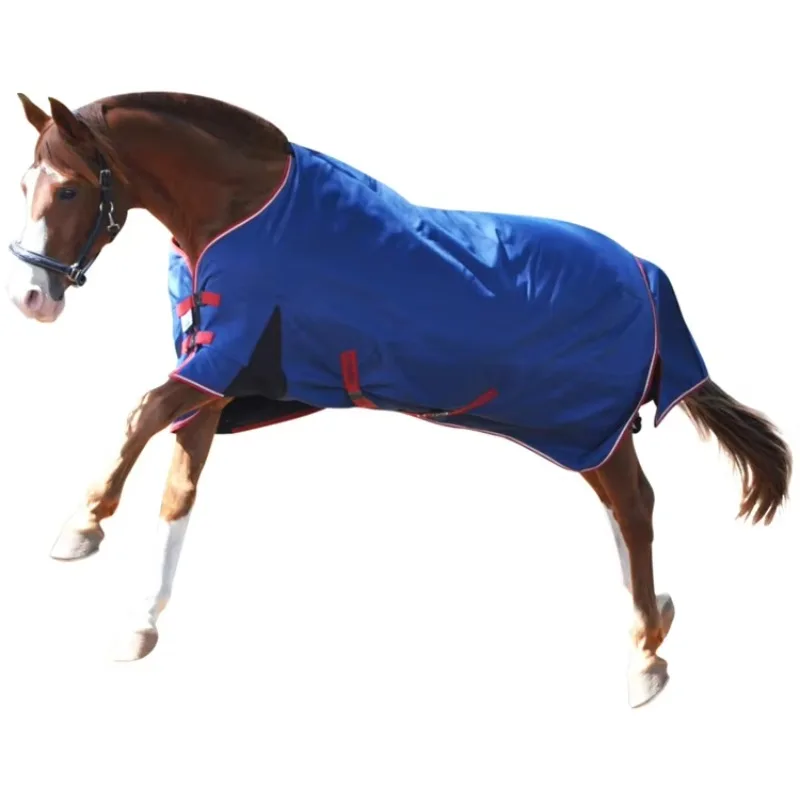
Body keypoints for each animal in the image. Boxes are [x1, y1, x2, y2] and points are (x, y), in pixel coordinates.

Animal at [6, 92, 791, 709]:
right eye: (24, 184)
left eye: (69, 189)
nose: (31, 297)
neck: (242, 212)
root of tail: (644, 269)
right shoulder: (216, 387)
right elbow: (178, 492)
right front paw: (139, 622)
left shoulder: (219, 363)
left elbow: (139, 412)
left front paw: (81, 527)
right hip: (590, 431)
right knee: (625, 509)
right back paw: (652, 621)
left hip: (587, 425)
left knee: (634, 507)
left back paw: (645, 656)